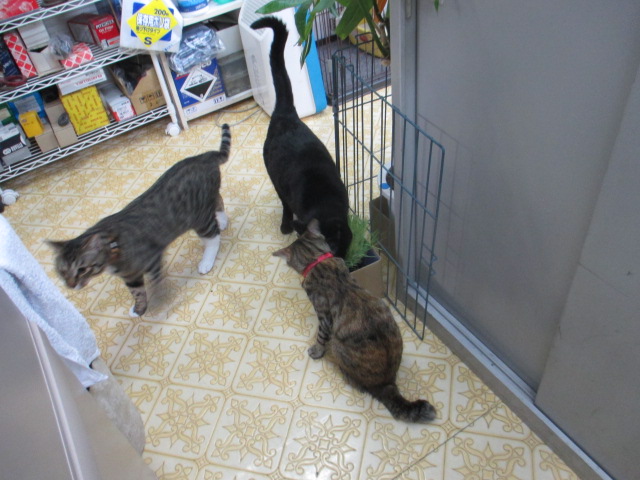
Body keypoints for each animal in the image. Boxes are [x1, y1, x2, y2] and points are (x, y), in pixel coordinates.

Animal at [48, 124, 232, 317]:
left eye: (82, 270)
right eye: (62, 272)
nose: (71, 285)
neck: (114, 251)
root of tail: (202, 156)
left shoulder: (153, 260)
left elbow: (156, 284)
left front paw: (158, 300)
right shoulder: (131, 276)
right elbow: (138, 292)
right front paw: (139, 309)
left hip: (200, 218)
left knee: (213, 237)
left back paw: (207, 260)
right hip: (206, 204)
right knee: (218, 200)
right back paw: (222, 221)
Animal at [251, 16, 352, 258]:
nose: (342, 260)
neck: (325, 204)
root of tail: (285, 113)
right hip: (275, 178)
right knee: (285, 204)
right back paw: (285, 224)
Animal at [273, 219, 436, 422]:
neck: (318, 260)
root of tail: (387, 383)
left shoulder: (324, 317)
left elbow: (320, 337)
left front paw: (317, 350)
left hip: (337, 345)